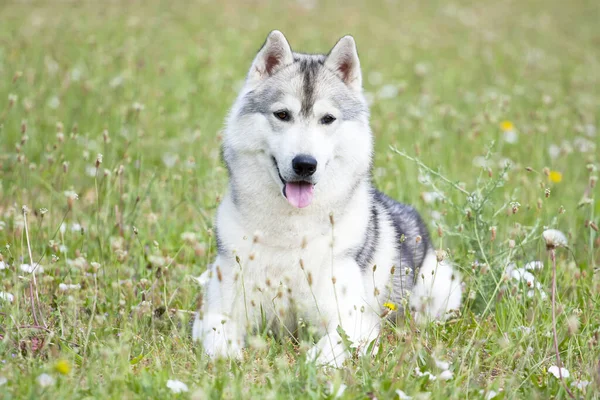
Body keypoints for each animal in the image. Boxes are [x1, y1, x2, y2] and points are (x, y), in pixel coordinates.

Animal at [193, 31, 464, 368]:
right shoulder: (212, 314)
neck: (290, 234)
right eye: (282, 115)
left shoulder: (353, 322)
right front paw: (229, 359)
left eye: (328, 118)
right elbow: (218, 338)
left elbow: (325, 352)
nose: (304, 164)